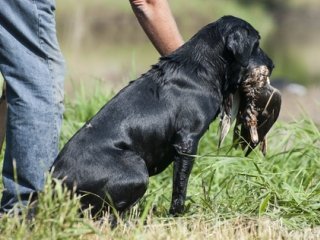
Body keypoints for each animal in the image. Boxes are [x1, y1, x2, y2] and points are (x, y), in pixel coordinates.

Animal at [51, 15, 274, 217]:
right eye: (257, 43)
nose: (272, 65)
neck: (201, 68)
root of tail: (55, 180)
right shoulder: (187, 142)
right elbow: (180, 186)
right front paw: (177, 215)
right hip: (137, 170)